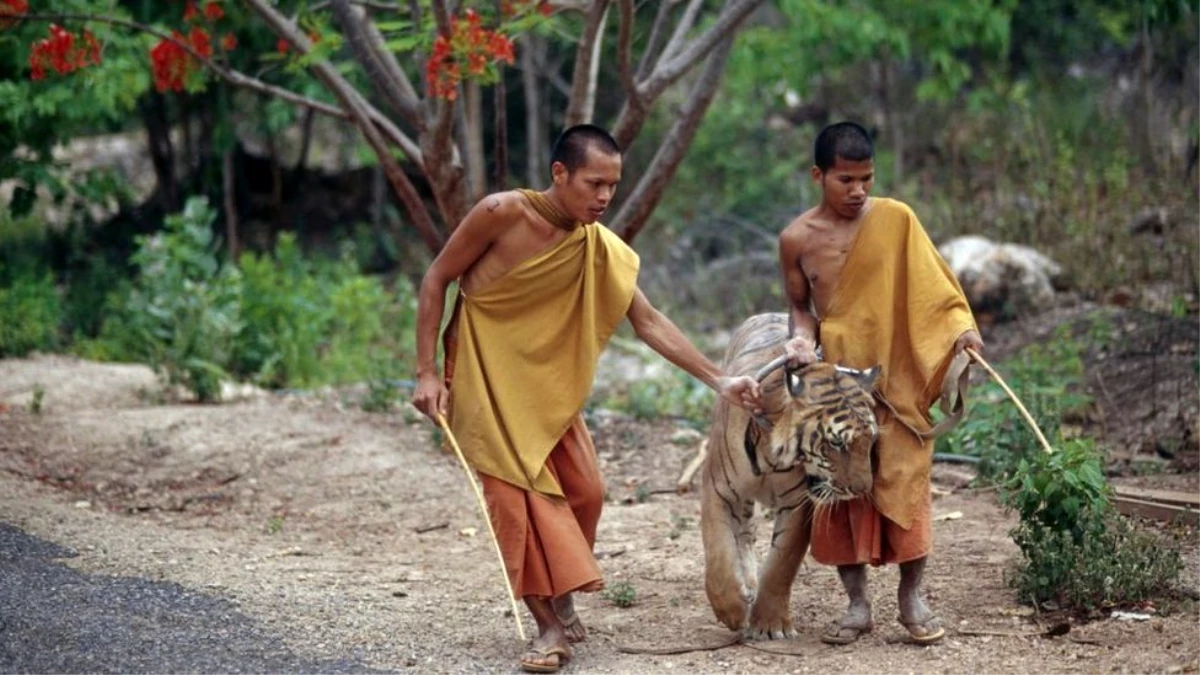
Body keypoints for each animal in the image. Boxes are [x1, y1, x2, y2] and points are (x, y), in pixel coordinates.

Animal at [700, 309, 878, 634]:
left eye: (870, 441)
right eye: (836, 443)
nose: (862, 490)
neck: (773, 453)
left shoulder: (798, 504)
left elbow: (781, 564)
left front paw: (771, 624)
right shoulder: (717, 489)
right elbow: (719, 551)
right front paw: (731, 611)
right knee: (743, 534)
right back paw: (746, 586)